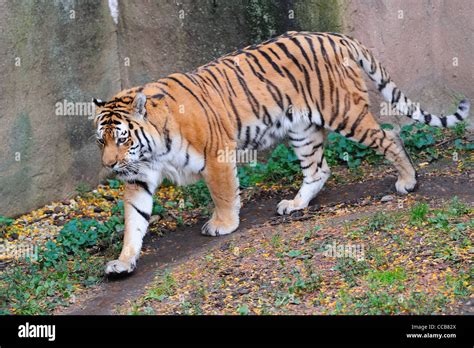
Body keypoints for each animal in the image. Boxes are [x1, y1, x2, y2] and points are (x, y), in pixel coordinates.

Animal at [93, 31, 470, 274]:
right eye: (102, 141)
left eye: (123, 139)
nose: (110, 166)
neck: (151, 149)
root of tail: (337, 37)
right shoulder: (139, 177)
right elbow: (134, 222)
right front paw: (123, 262)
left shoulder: (217, 155)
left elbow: (223, 194)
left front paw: (223, 225)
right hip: (303, 131)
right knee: (318, 169)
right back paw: (296, 204)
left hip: (345, 113)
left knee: (389, 136)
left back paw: (408, 181)